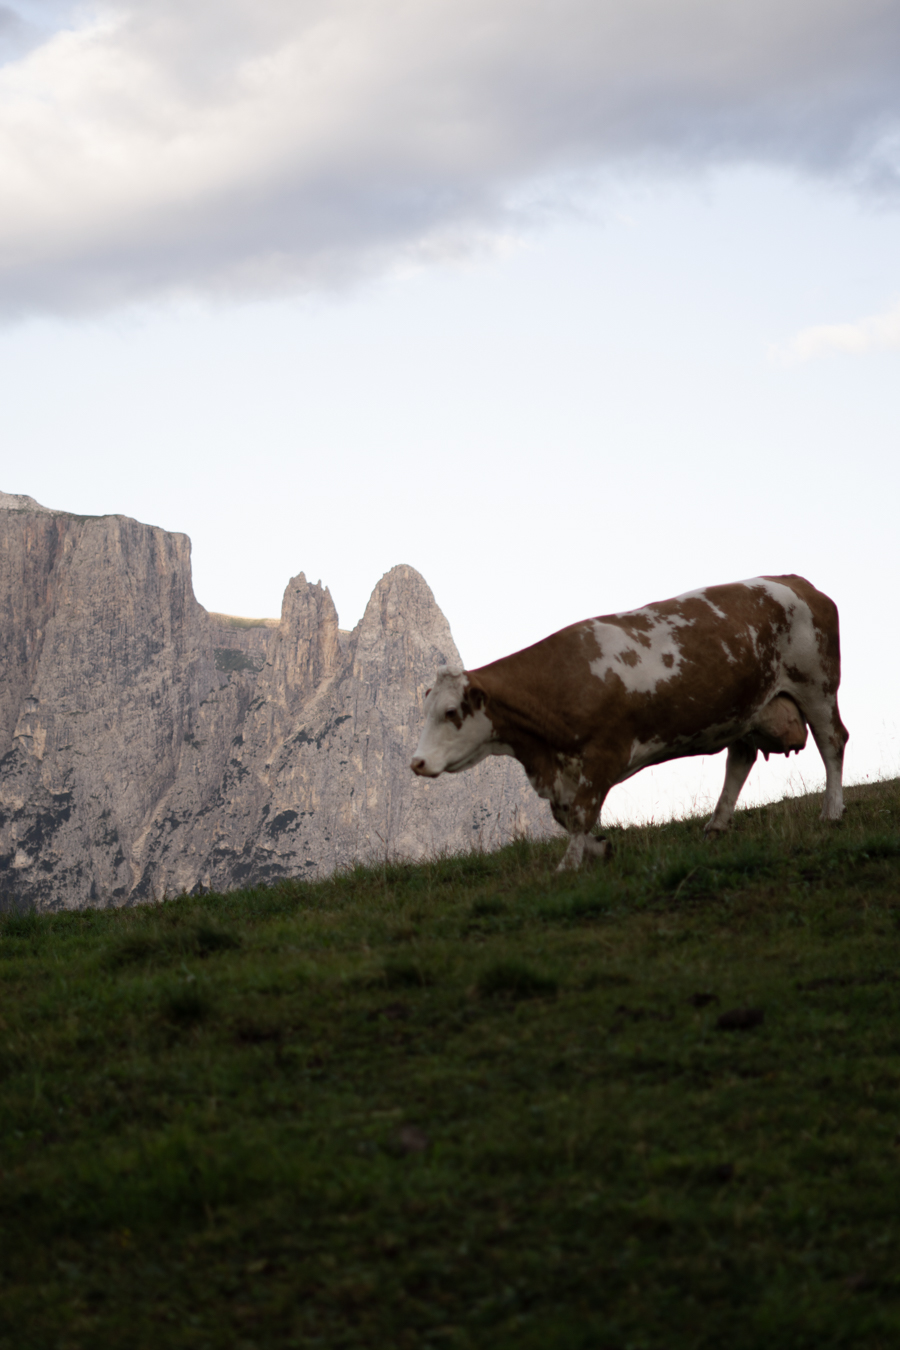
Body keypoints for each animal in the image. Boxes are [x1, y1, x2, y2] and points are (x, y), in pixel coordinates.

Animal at [412, 572, 847, 869]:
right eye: (425, 710)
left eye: (450, 712)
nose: (416, 762)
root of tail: (793, 581)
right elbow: (565, 815)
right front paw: (599, 848)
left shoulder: (604, 753)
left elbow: (580, 813)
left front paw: (569, 865)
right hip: (747, 709)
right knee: (740, 759)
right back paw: (717, 824)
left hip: (817, 687)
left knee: (833, 743)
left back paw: (832, 812)